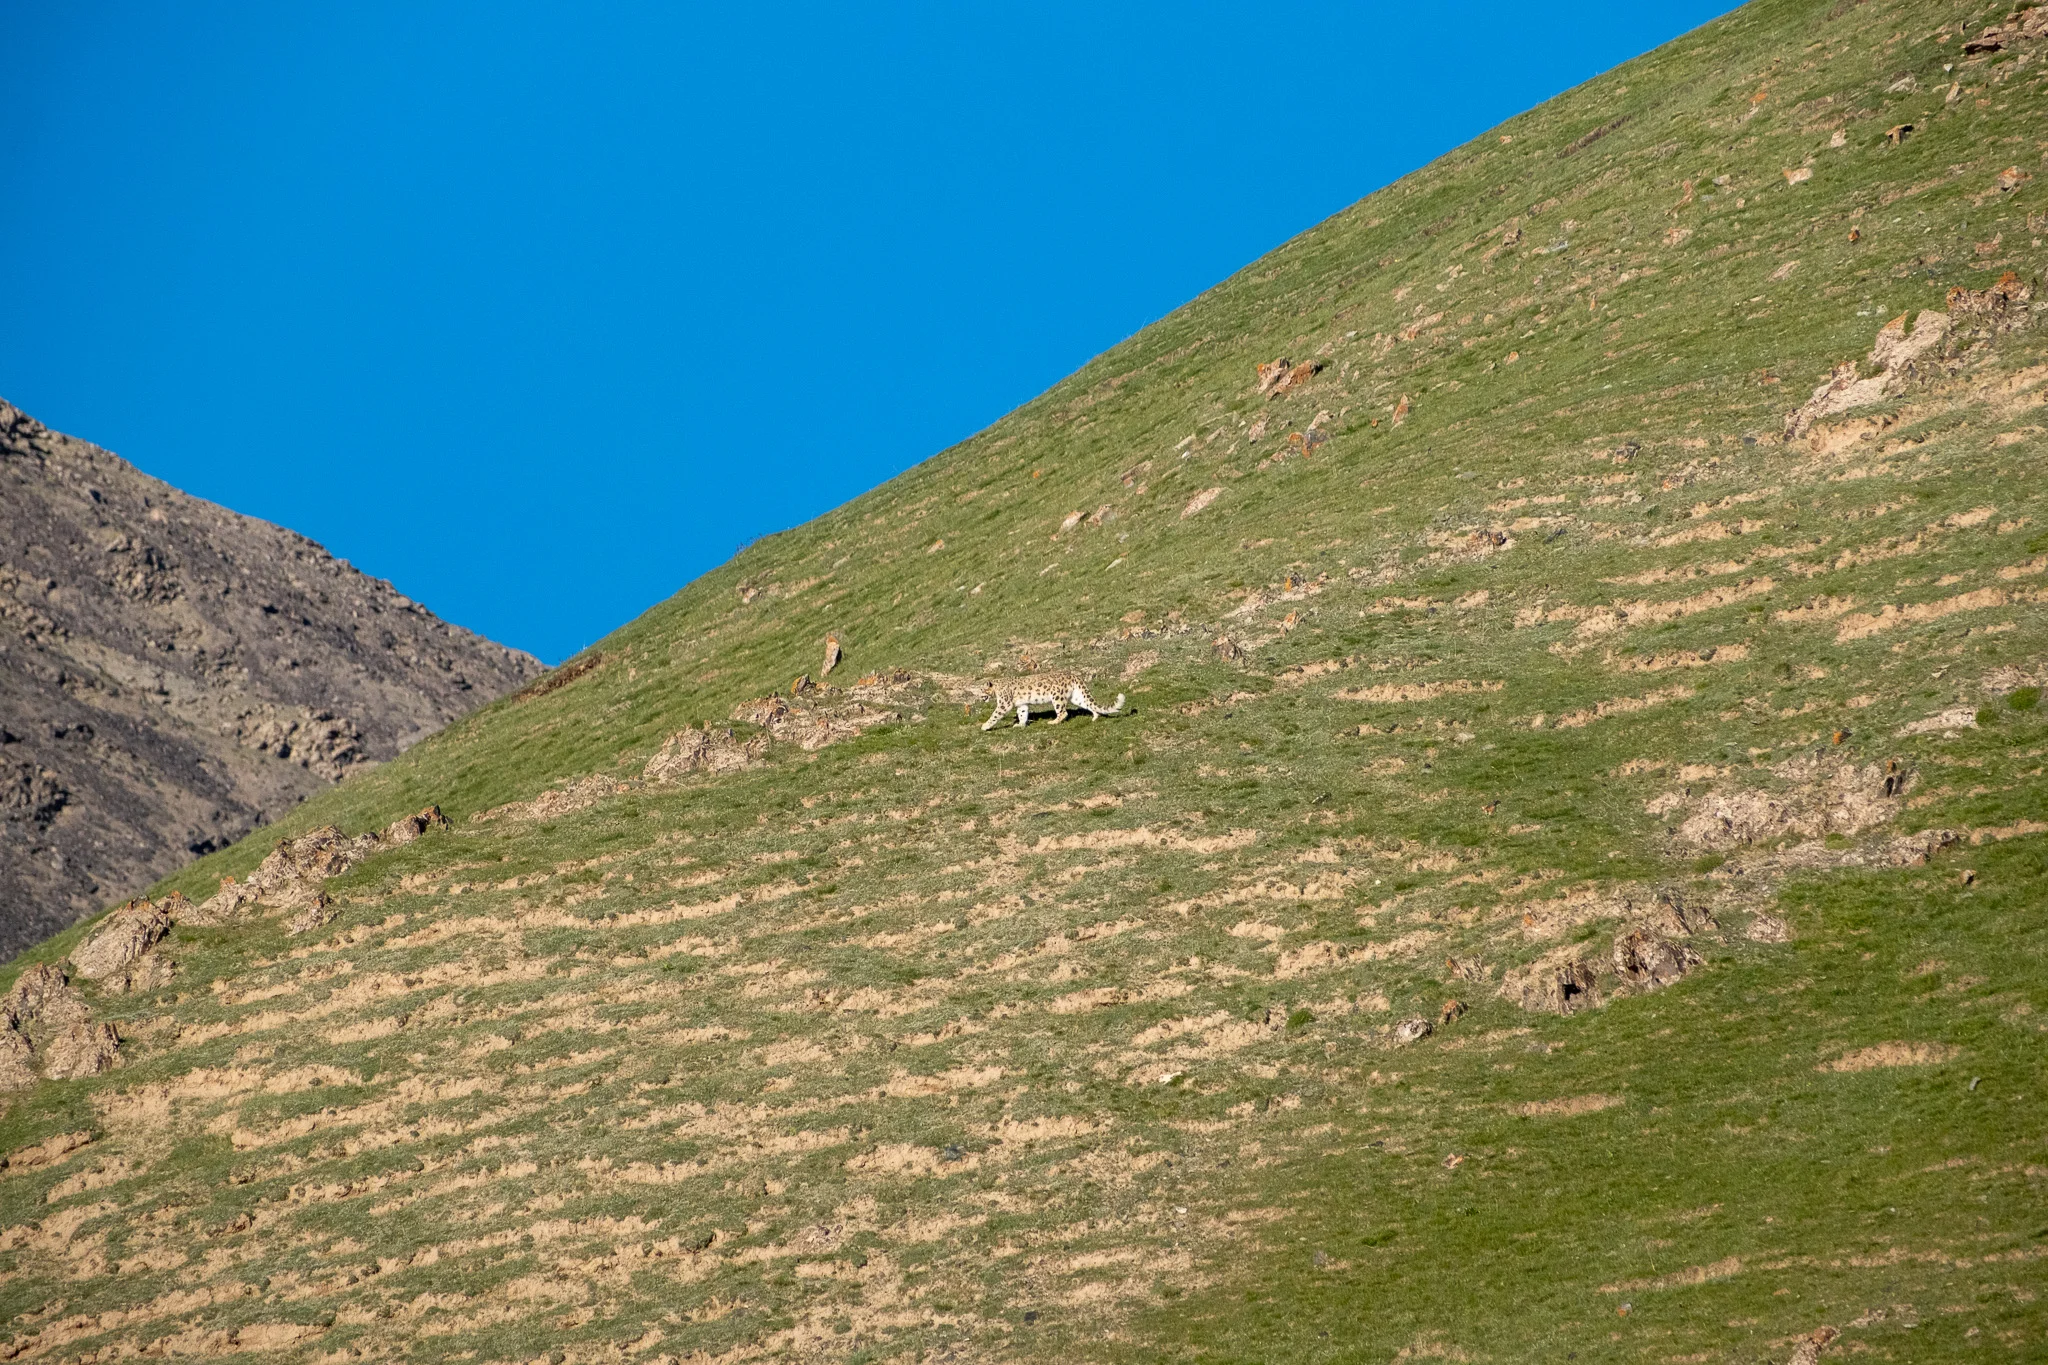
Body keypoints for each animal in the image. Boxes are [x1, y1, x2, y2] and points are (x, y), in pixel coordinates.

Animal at [979, 671, 1125, 730]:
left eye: (981, 689)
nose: (979, 697)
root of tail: (1074, 675)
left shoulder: (1004, 704)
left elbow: (995, 715)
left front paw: (985, 726)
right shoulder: (1022, 704)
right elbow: (1022, 713)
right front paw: (1020, 724)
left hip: (1057, 696)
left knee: (1063, 712)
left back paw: (1053, 722)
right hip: (1076, 697)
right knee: (1089, 704)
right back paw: (1095, 717)